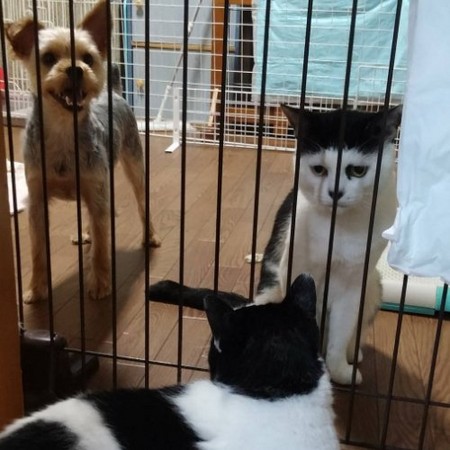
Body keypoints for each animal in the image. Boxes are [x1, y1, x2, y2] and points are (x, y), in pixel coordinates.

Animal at [6, 0, 160, 303]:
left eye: (88, 58)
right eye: (48, 58)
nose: (76, 70)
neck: (64, 130)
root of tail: (114, 92)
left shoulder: (96, 186)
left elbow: (101, 247)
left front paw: (99, 285)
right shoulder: (37, 199)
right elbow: (38, 250)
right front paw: (36, 289)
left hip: (133, 162)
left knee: (141, 201)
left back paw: (149, 236)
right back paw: (85, 233)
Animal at [253, 104, 402, 385]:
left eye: (358, 171)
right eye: (319, 170)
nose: (335, 192)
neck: (340, 228)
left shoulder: (353, 285)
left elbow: (340, 332)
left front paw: (340, 371)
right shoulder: (296, 272)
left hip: (373, 288)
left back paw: (353, 354)